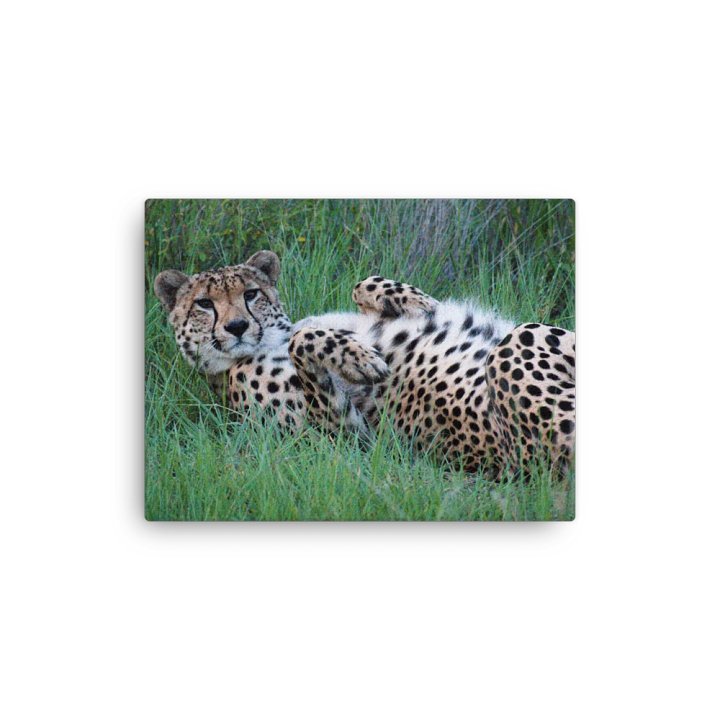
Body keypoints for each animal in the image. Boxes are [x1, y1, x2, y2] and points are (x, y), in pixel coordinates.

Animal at [154, 250, 575, 475]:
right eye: (203, 304)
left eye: (251, 293)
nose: (238, 326)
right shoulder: (351, 440)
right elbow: (305, 343)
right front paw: (360, 357)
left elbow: (363, 283)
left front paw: (421, 303)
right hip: (521, 341)